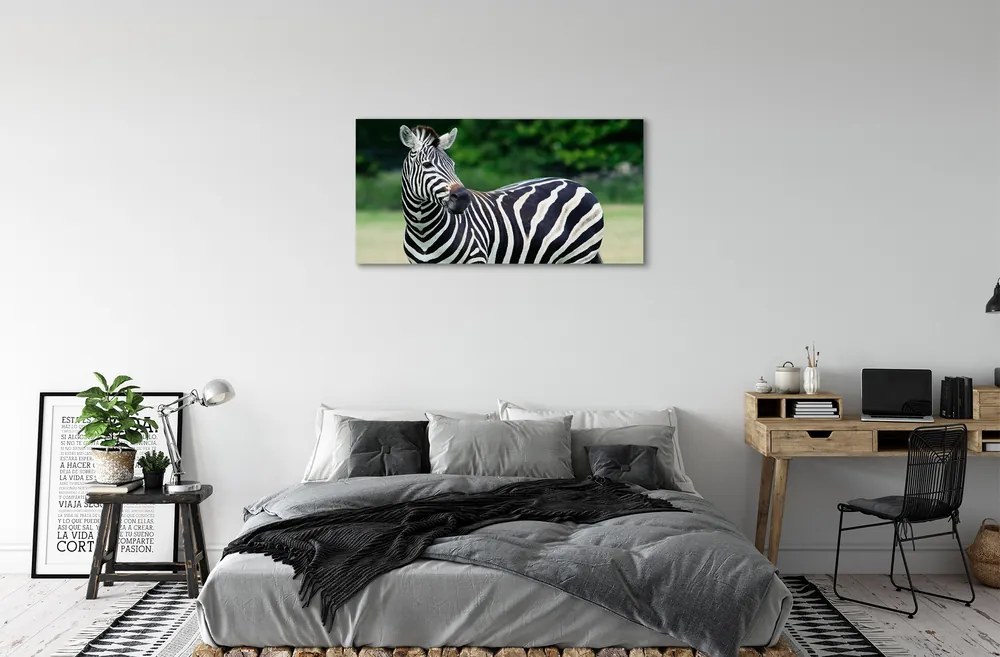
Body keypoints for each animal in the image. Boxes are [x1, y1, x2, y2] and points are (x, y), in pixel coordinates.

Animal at [398, 125, 605, 264]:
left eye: (453, 165)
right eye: (427, 165)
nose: (464, 198)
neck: (422, 229)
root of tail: (576, 183)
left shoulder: (476, 259)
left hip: (580, 255)